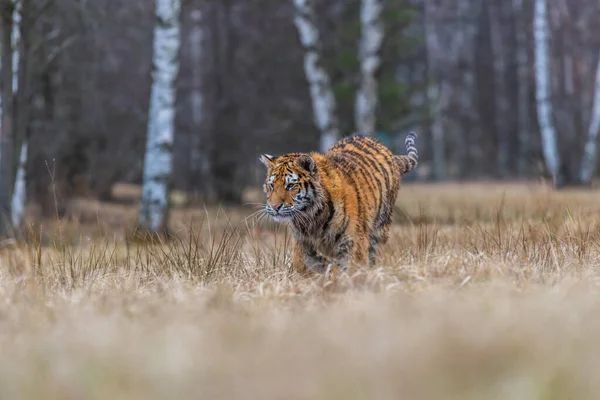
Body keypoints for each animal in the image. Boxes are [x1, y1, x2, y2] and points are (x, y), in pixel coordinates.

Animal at [260, 133, 420, 274]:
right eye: (271, 185)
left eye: (290, 186)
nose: (275, 207)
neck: (311, 217)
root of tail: (388, 152)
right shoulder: (303, 243)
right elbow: (302, 263)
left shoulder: (353, 242)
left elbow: (352, 269)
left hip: (380, 228)